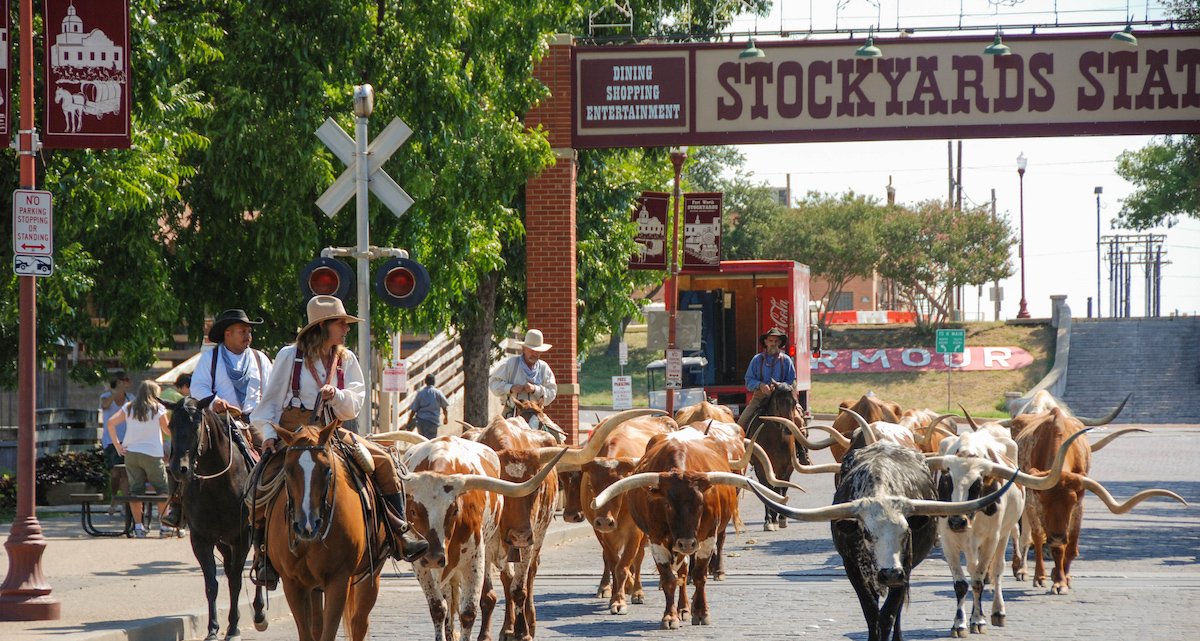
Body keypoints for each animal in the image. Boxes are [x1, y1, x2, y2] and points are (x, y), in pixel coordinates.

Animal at [165, 396, 264, 641]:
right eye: (171, 425)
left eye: (196, 425)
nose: (178, 468)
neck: (217, 484)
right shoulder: (202, 540)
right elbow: (212, 584)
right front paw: (213, 628)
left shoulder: (242, 538)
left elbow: (236, 581)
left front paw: (233, 628)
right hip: (222, 543)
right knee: (229, 569)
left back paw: (258, 613)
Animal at [267, 417, 393, 641]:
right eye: (288, 470)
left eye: (327, 469)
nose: (306, 525)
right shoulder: (293, 583)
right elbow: (308, 632)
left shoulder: (338, 580)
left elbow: (329, 631)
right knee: (318, 625)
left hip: (371, 573)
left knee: (359, 623)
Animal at [739, 384, 806, 530]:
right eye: (778, 402)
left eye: (794, 402)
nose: (788, 429)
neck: (775, 437)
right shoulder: (761, 467)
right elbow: (767, 488)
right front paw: (769, 520)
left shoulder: (788, 466)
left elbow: (783, 487)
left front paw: (782, 518)